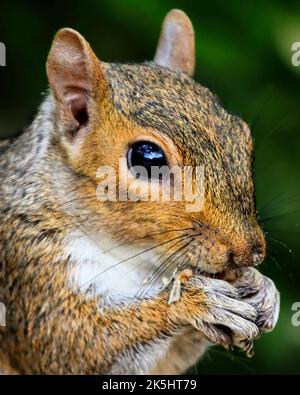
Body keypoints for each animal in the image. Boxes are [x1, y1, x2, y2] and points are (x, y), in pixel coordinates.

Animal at [1, 8, 280, 374]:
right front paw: (193, 302)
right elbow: (70, 345)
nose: (250, 252)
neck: (134, 260)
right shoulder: (29, 264)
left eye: (243, 136)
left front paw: (263, 288)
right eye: (147, 158)